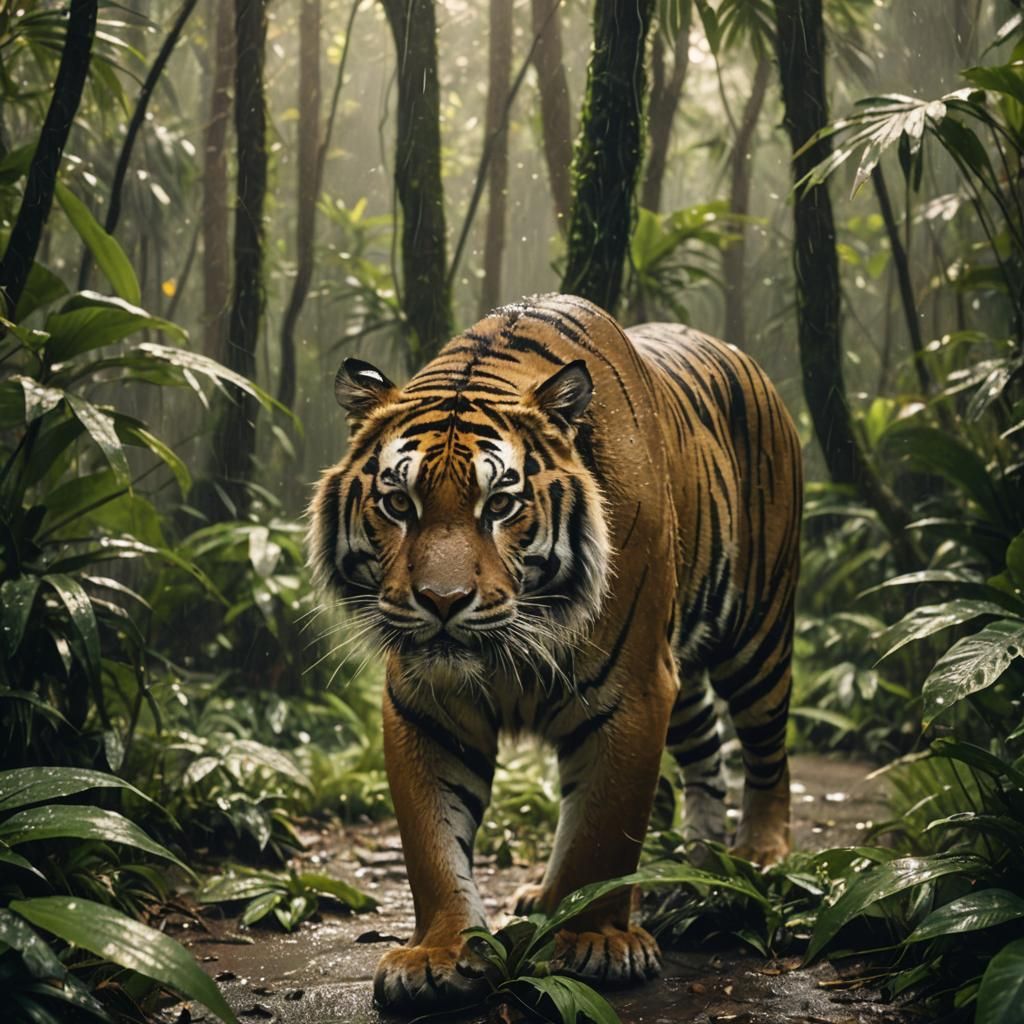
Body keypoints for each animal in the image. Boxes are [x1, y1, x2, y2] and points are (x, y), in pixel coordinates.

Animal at [308, 293, 802, 1008]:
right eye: (398, 503)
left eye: (500, 505)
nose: (442, 601)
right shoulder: (425, 706)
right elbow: (432, 841)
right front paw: (439, 953)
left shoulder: (635, 691)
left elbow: (602, 827)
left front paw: (591, 941)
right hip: (684, 668)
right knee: (706, 749)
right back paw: (691, 865)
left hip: (758, 632)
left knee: (767, 749)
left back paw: (758, 854)